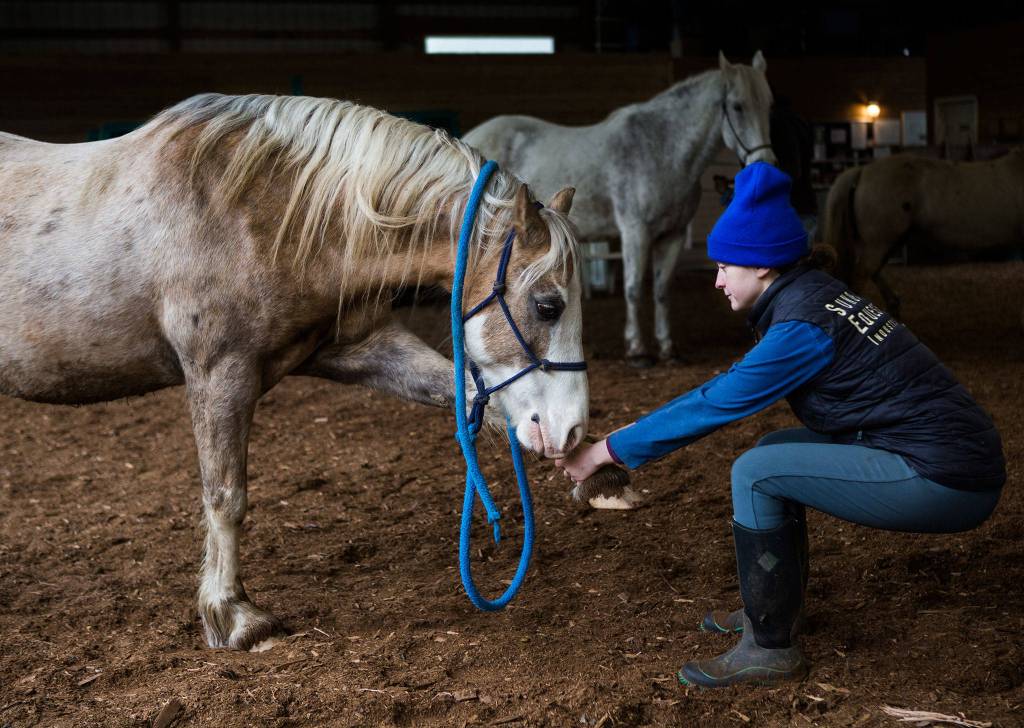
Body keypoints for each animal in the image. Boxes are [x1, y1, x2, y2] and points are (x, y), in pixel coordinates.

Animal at [0, 93, 588, 651]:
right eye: (548, 306)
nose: (572, 430)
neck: (259, 213)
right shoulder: (220, 373)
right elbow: (225, 496)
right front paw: (234, 616)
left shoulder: (358, 350)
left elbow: (462, 391)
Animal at [464, 52, 776, 367]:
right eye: (737, 106)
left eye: (769, 103)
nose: (764, 163)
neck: (659, 150)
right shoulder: (635, 232)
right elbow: (633, 289)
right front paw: (637, 350)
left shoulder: (672, 235)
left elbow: (661, 291)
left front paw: (667, 348)